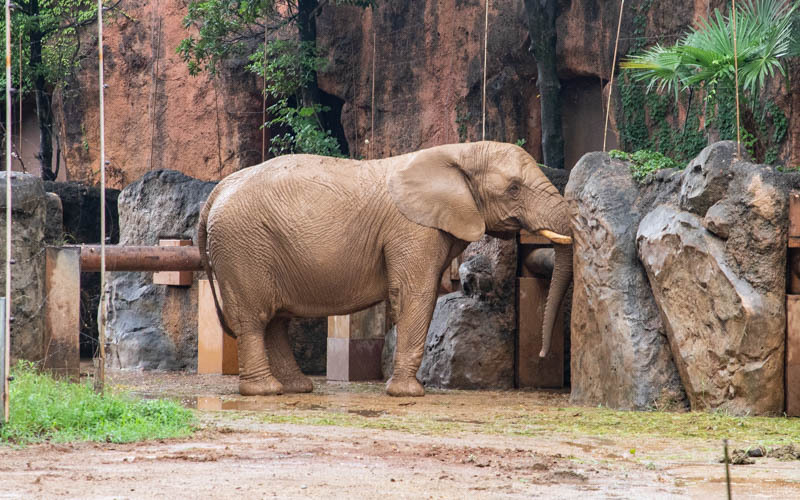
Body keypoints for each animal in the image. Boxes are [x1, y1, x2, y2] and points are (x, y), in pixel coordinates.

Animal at [197, 142, 572, 398]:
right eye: (513, 188)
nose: (542, 355)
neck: (458, 151)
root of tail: (216, 191)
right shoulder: (413, 230)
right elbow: (416, 294)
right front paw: (410, 393)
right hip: (243, 247)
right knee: (255, 318)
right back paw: (265, 391)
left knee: (274, 321)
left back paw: (296, 387)